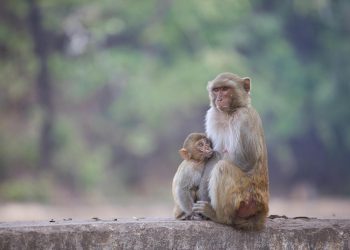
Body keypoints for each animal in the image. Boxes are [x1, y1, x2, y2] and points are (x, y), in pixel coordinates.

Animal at [193, 72, 270, 230]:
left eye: (225, 89)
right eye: (216, 90)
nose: (219, 99)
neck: (229, 113)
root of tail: (262, 210)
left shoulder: (245, 118)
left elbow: (247, 159)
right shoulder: (213, 115)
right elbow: (213, 155)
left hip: (247, 197)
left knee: (223, 168)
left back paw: (219, 217)